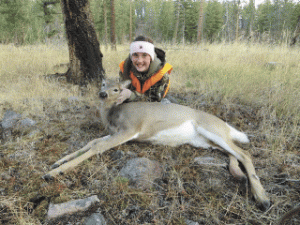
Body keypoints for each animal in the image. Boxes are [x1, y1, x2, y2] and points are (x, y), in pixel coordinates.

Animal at [43, 78, 270, 210]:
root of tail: (224, 124)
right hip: (204, 141)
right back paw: (239, 175)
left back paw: (262, 198)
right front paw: (57, 162)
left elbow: (97, 147)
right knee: (232, 152)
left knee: (244, 152)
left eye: (116, 89)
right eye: (103, 84)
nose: (102, 94)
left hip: (211, 130)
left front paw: (54, 173)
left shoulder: (130, 129)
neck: (113, 116)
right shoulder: (115, 133)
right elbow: (92, 142)